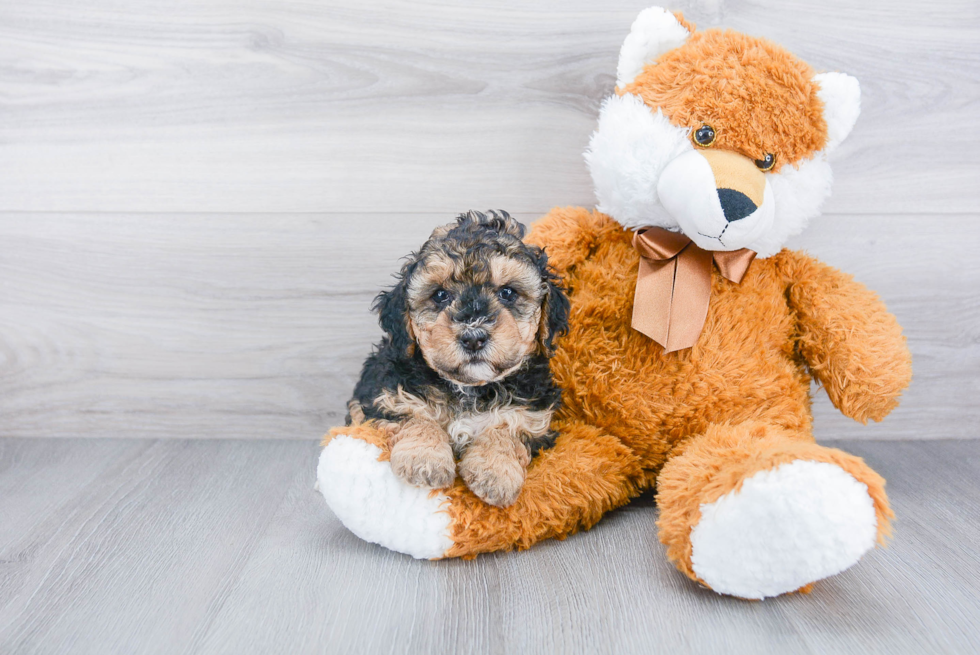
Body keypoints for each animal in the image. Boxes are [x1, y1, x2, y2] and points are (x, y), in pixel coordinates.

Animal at [346, 210, 572, 508]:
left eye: (508, 293)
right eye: (440, 295)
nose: (473, 337)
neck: (469, 389)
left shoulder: (532, 415)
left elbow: (508, 428)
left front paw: (495, 474)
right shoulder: (386, 396)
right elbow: (416, 416)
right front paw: (424, 460)